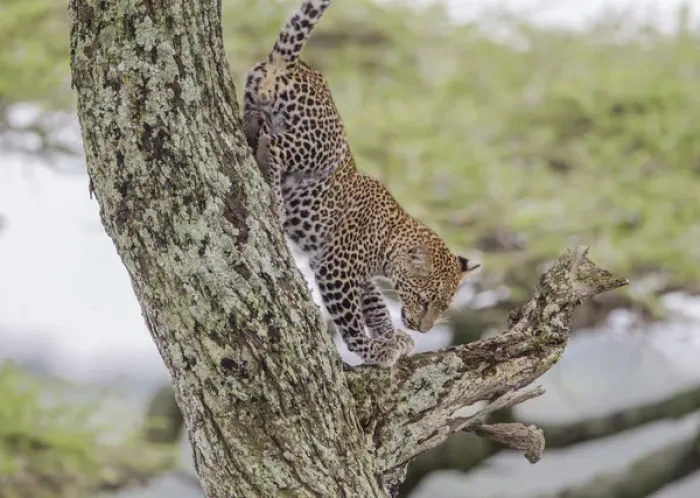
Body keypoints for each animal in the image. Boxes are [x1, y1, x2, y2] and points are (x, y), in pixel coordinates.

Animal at [242, 0, 480, 367]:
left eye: (443, 306)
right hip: (320, 147)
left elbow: (376, 307)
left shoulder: (360, 276)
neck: (390, 236)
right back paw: (275, 194)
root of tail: (295, 65)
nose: (424, 329)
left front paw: (392, 337)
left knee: (255, 125)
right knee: (276, 146)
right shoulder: (334, 267)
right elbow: (351, 320)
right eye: (424, 299)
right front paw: (374, 350)